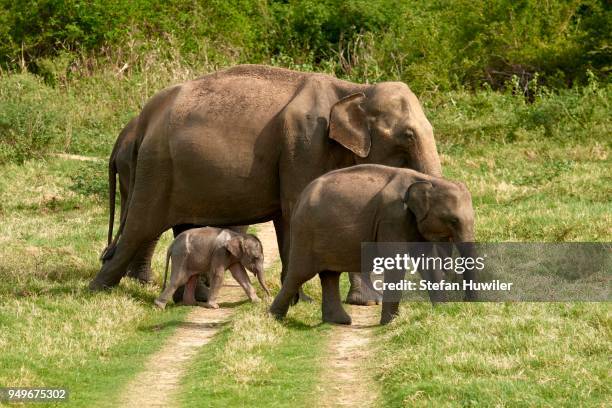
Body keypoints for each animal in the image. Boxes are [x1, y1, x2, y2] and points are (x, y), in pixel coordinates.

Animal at [91, 64, 442, 310]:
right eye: (408, 136)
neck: (354, 89)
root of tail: (146, 117)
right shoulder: (303, 145)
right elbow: (294, 210)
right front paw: (306, 301)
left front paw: (349, 301)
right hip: (157, 167)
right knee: (141, 225)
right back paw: (98, 289)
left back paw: (188, 297)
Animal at [268, 163, 478, 326]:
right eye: (453, 221)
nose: (466, 302)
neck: (427, 180)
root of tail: (301, 198)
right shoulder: (392, 218)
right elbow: (395, 263)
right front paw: (390, 322)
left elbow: (428, 262)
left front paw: (442, 311)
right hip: (305, 233)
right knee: (299, 274)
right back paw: (275, 318)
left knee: (329, 275)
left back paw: (338, 321)